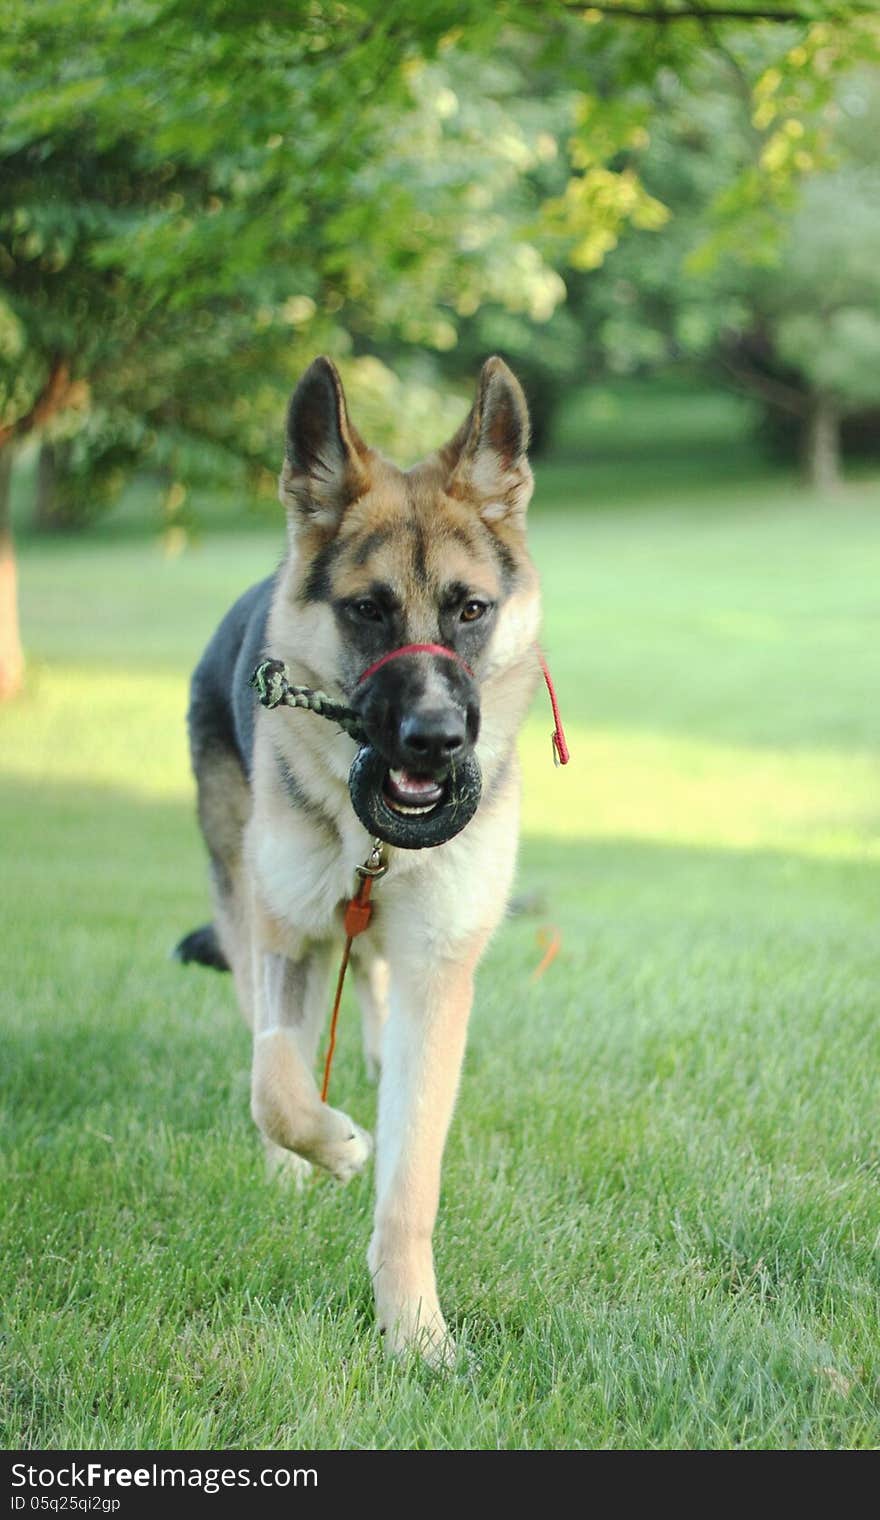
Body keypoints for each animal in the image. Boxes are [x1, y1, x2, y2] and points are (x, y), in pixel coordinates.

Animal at [175, 355, 541, 1368]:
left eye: (470, 609)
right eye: (369, 611)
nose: (438, 740)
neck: (374, 843)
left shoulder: (438, 970)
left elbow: (411, 1182)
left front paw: (415, 1333)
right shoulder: (283, 938)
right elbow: (274, 1079)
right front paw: (330, 1148)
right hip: (241, 902)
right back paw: (294, 1161)